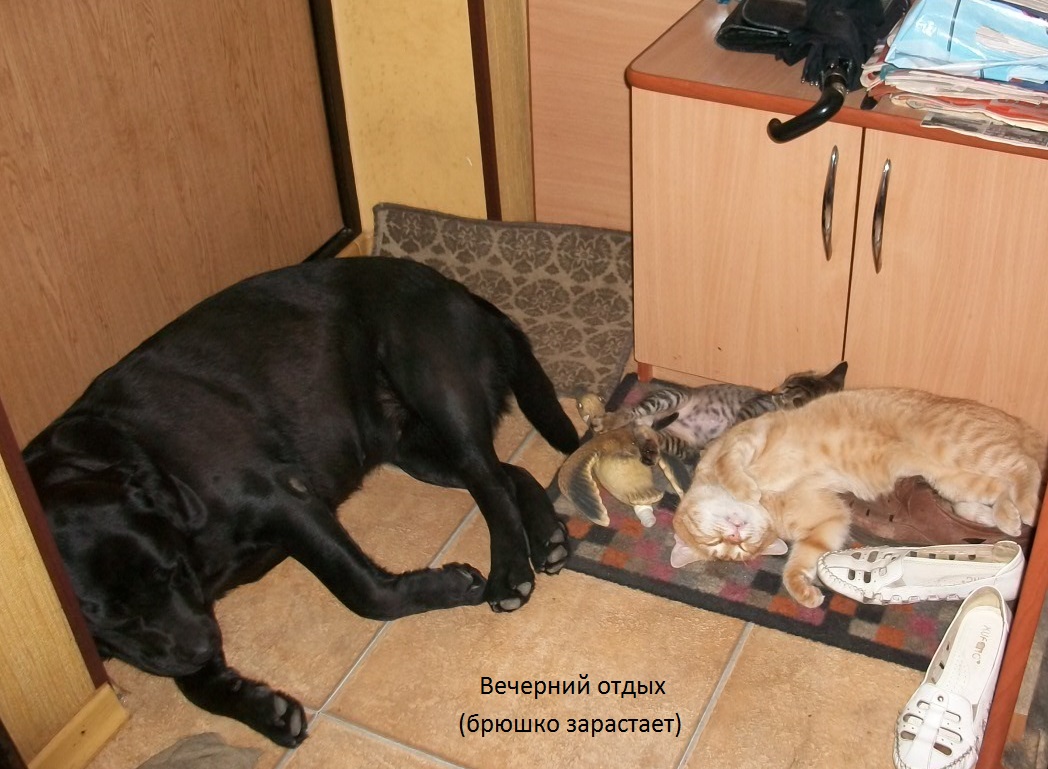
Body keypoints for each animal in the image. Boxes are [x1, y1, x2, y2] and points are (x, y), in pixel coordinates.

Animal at [22, 256, 581, 746]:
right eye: (112, 618)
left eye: (171, 572)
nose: (205, 647)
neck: (133, 451)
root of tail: (459, 290)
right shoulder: (184, 615)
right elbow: (191, 681)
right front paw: (257, 707)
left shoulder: (281, 499)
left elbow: (362, 591)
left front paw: (445, 586)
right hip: (416, 450)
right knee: (509, 474)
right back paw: (546, 537)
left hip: (438, 394)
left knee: (491, 484)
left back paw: (510, 571)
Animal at [588, 361, 848, 464]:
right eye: (785, 383)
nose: (771, 391)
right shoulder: (750, 409)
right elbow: (731, 432)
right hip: (672, 397)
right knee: (630, 413)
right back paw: (607, 422)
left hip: (681, 443)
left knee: (643, 429)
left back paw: (650, 448)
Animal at [671, 387, 1047, 608]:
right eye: (726, 550)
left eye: (719, 543)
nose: (735, 538)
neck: (770, 504)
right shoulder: (830, 520)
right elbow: (800, 563)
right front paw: (804, 591)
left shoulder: (746, 439)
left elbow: (733, 466)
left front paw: (747, 487)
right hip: (952, 479)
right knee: (995, 492)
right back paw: (1005, 518)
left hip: (963, 448)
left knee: (1025, 467)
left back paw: (1028, 510)